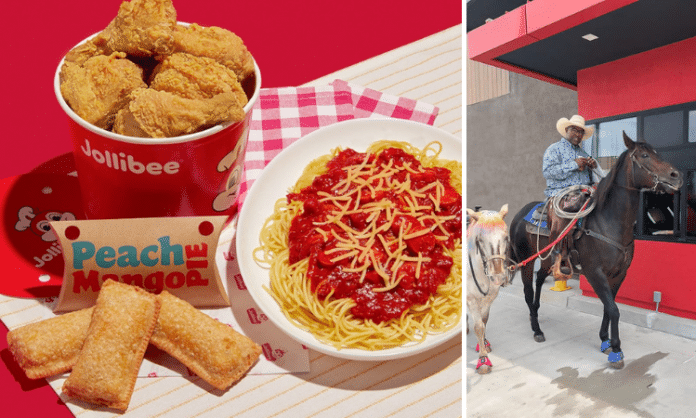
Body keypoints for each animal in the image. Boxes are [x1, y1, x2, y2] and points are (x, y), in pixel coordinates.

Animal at [468, 204, 512, 374]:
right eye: (480, 240)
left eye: (506, 238)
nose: (498, 277)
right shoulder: (471, 299)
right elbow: (478, 326)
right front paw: (483, 360)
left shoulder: (490, 297)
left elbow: (484, 320)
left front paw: (484, 344)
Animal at [508, 132, 684, 368]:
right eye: (645, 155)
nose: (677, 176)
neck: (609, 222)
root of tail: (521, 213)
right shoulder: (594, 273)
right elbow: (614, 310)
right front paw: (616, 351)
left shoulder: (619, 273)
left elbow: (609, 308)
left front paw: (604, 340)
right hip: (526, 260)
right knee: (527, 291)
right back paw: (536, 330)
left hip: (546, 260)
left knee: (539, 280)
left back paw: (535, 313)